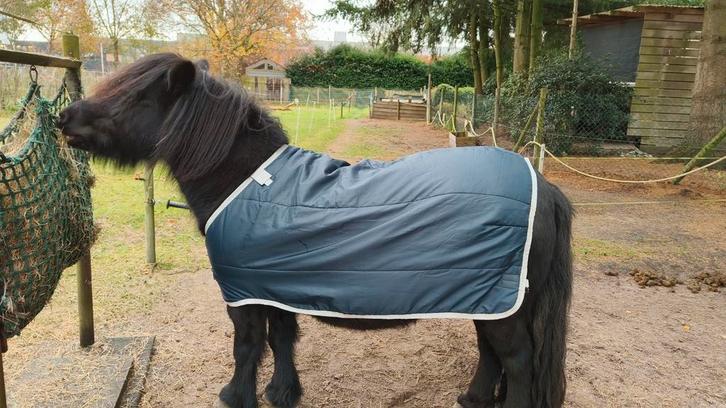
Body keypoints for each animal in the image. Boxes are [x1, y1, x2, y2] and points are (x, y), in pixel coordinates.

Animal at [58, 53, 573, 408]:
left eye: (134, 97)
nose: (65, 117)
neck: (246, 182)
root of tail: (544, 186)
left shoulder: (243, 294)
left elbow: (247, 346)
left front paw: (236, 396)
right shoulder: (274, 285)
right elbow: (281, 340)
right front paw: (283, 392)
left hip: (503, 306)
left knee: (517, 360)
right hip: (487, 299)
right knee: (491, 353)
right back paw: (473, 398)